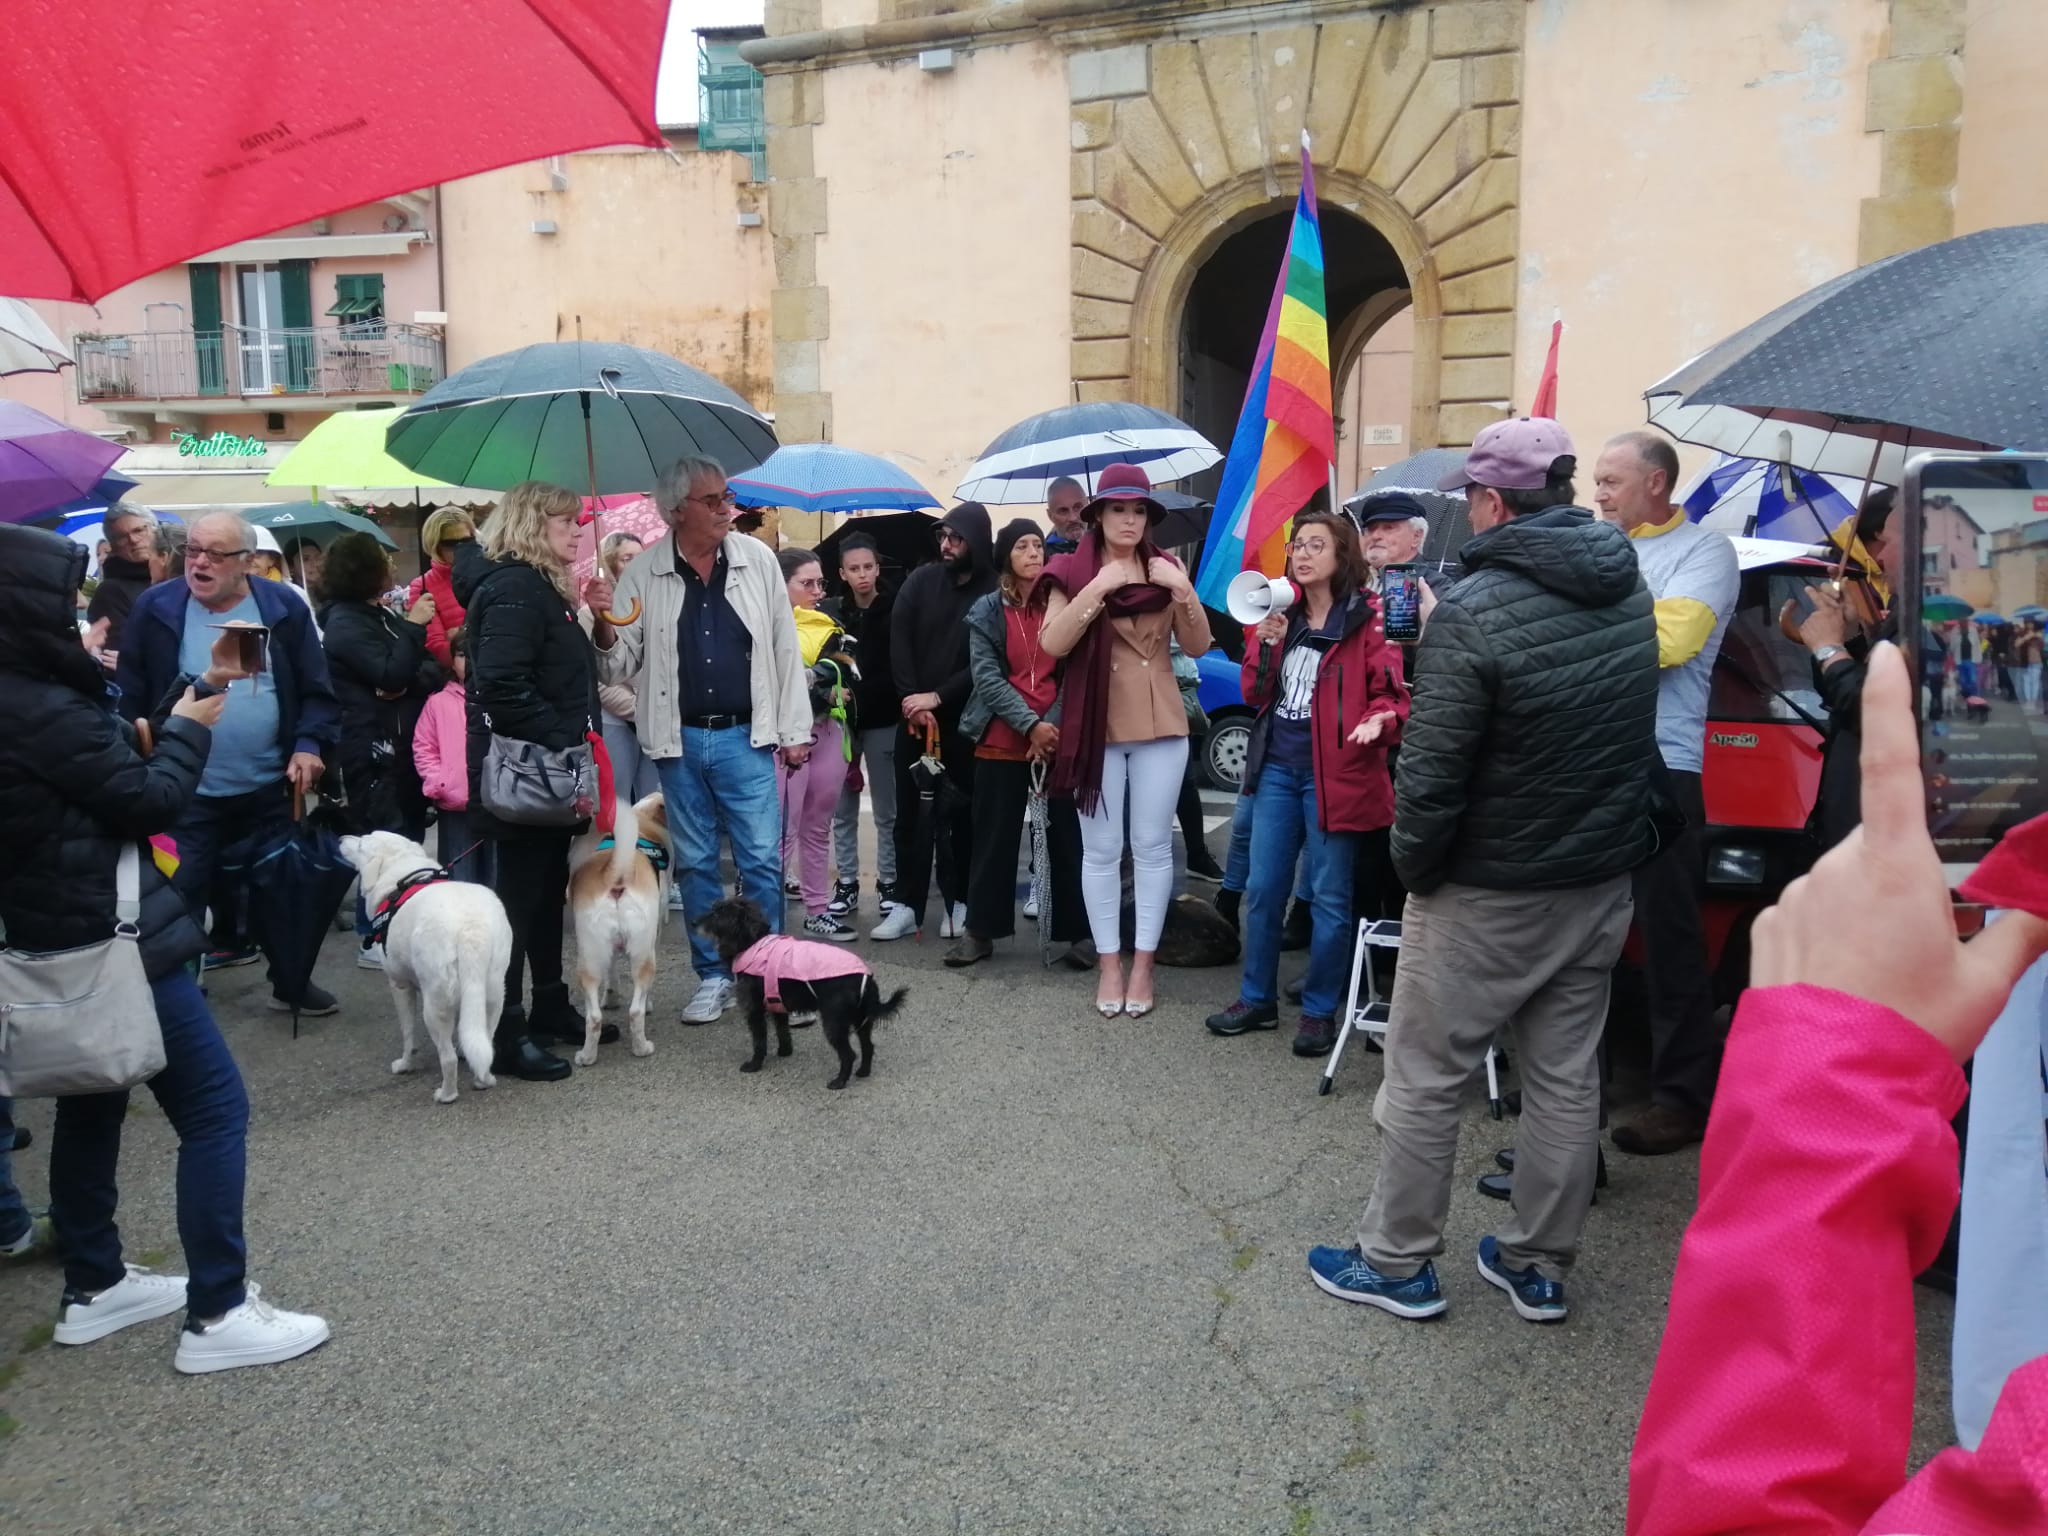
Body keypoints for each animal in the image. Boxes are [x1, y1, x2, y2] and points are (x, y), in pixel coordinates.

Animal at [337, 835, 509, 1097]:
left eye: (360, 843)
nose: (340, 838)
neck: (401, 871)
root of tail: (471, 929)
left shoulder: (399, 986)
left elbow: (408, 1034)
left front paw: (405, 1064)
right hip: (493, 995)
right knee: (486, 1047)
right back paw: (484, 1080)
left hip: (435, 1005)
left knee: (447, 1059)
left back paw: (446, 1094)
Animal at [569, 794, 671, 1073]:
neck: (643, 819)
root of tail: (615, 873)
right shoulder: (654, 937)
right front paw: (647, 1004)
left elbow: (612, 972)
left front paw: (611, 996)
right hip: (645, 956)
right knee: (635, 1010)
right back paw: (642, 1047)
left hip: (588, 956)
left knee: (594, 1017)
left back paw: (587, 1056)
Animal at [696, 897, 905, 1089]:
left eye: (718, 913)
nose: (694, 923)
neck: (753, 942)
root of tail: (865, 978)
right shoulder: (777, 1004)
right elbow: (782, 1030)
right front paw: (785, 1051)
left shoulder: (755, 1010)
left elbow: (759, 1041)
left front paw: (754, 1065)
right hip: (862, 1020)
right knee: (868, 1046)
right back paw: (863, 1072)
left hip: (834, 1022)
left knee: (849, 1055)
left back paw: (839, 1082)